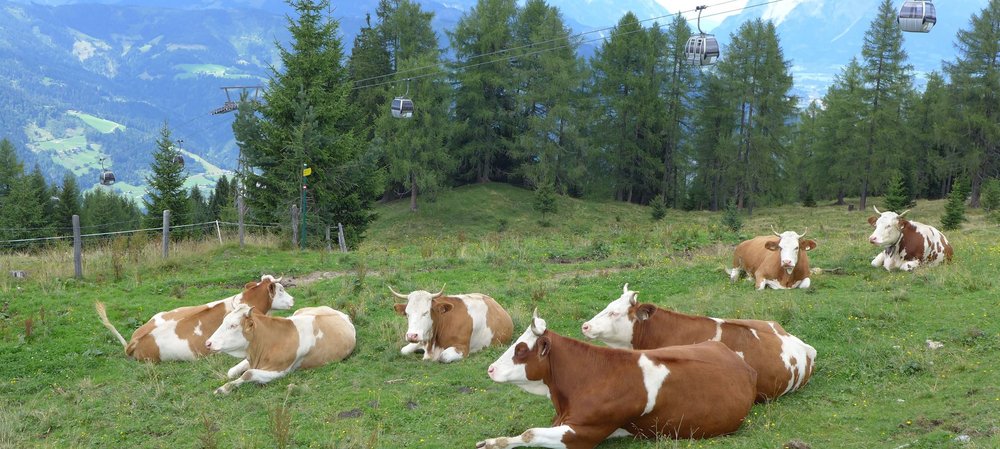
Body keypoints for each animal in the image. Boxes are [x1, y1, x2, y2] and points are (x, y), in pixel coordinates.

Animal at [205, 302, 358, 394]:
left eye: (233, 325)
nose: (208, 343)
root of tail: (343, 314)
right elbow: (231, 372)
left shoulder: (282, 371)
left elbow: (248, 373)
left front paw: (224, 388)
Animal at [484, 310, 756, 446]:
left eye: (521, 349)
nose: (490, 369)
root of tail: (742, 364)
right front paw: (490, 442)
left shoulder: (584, 433)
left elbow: (530, 433)